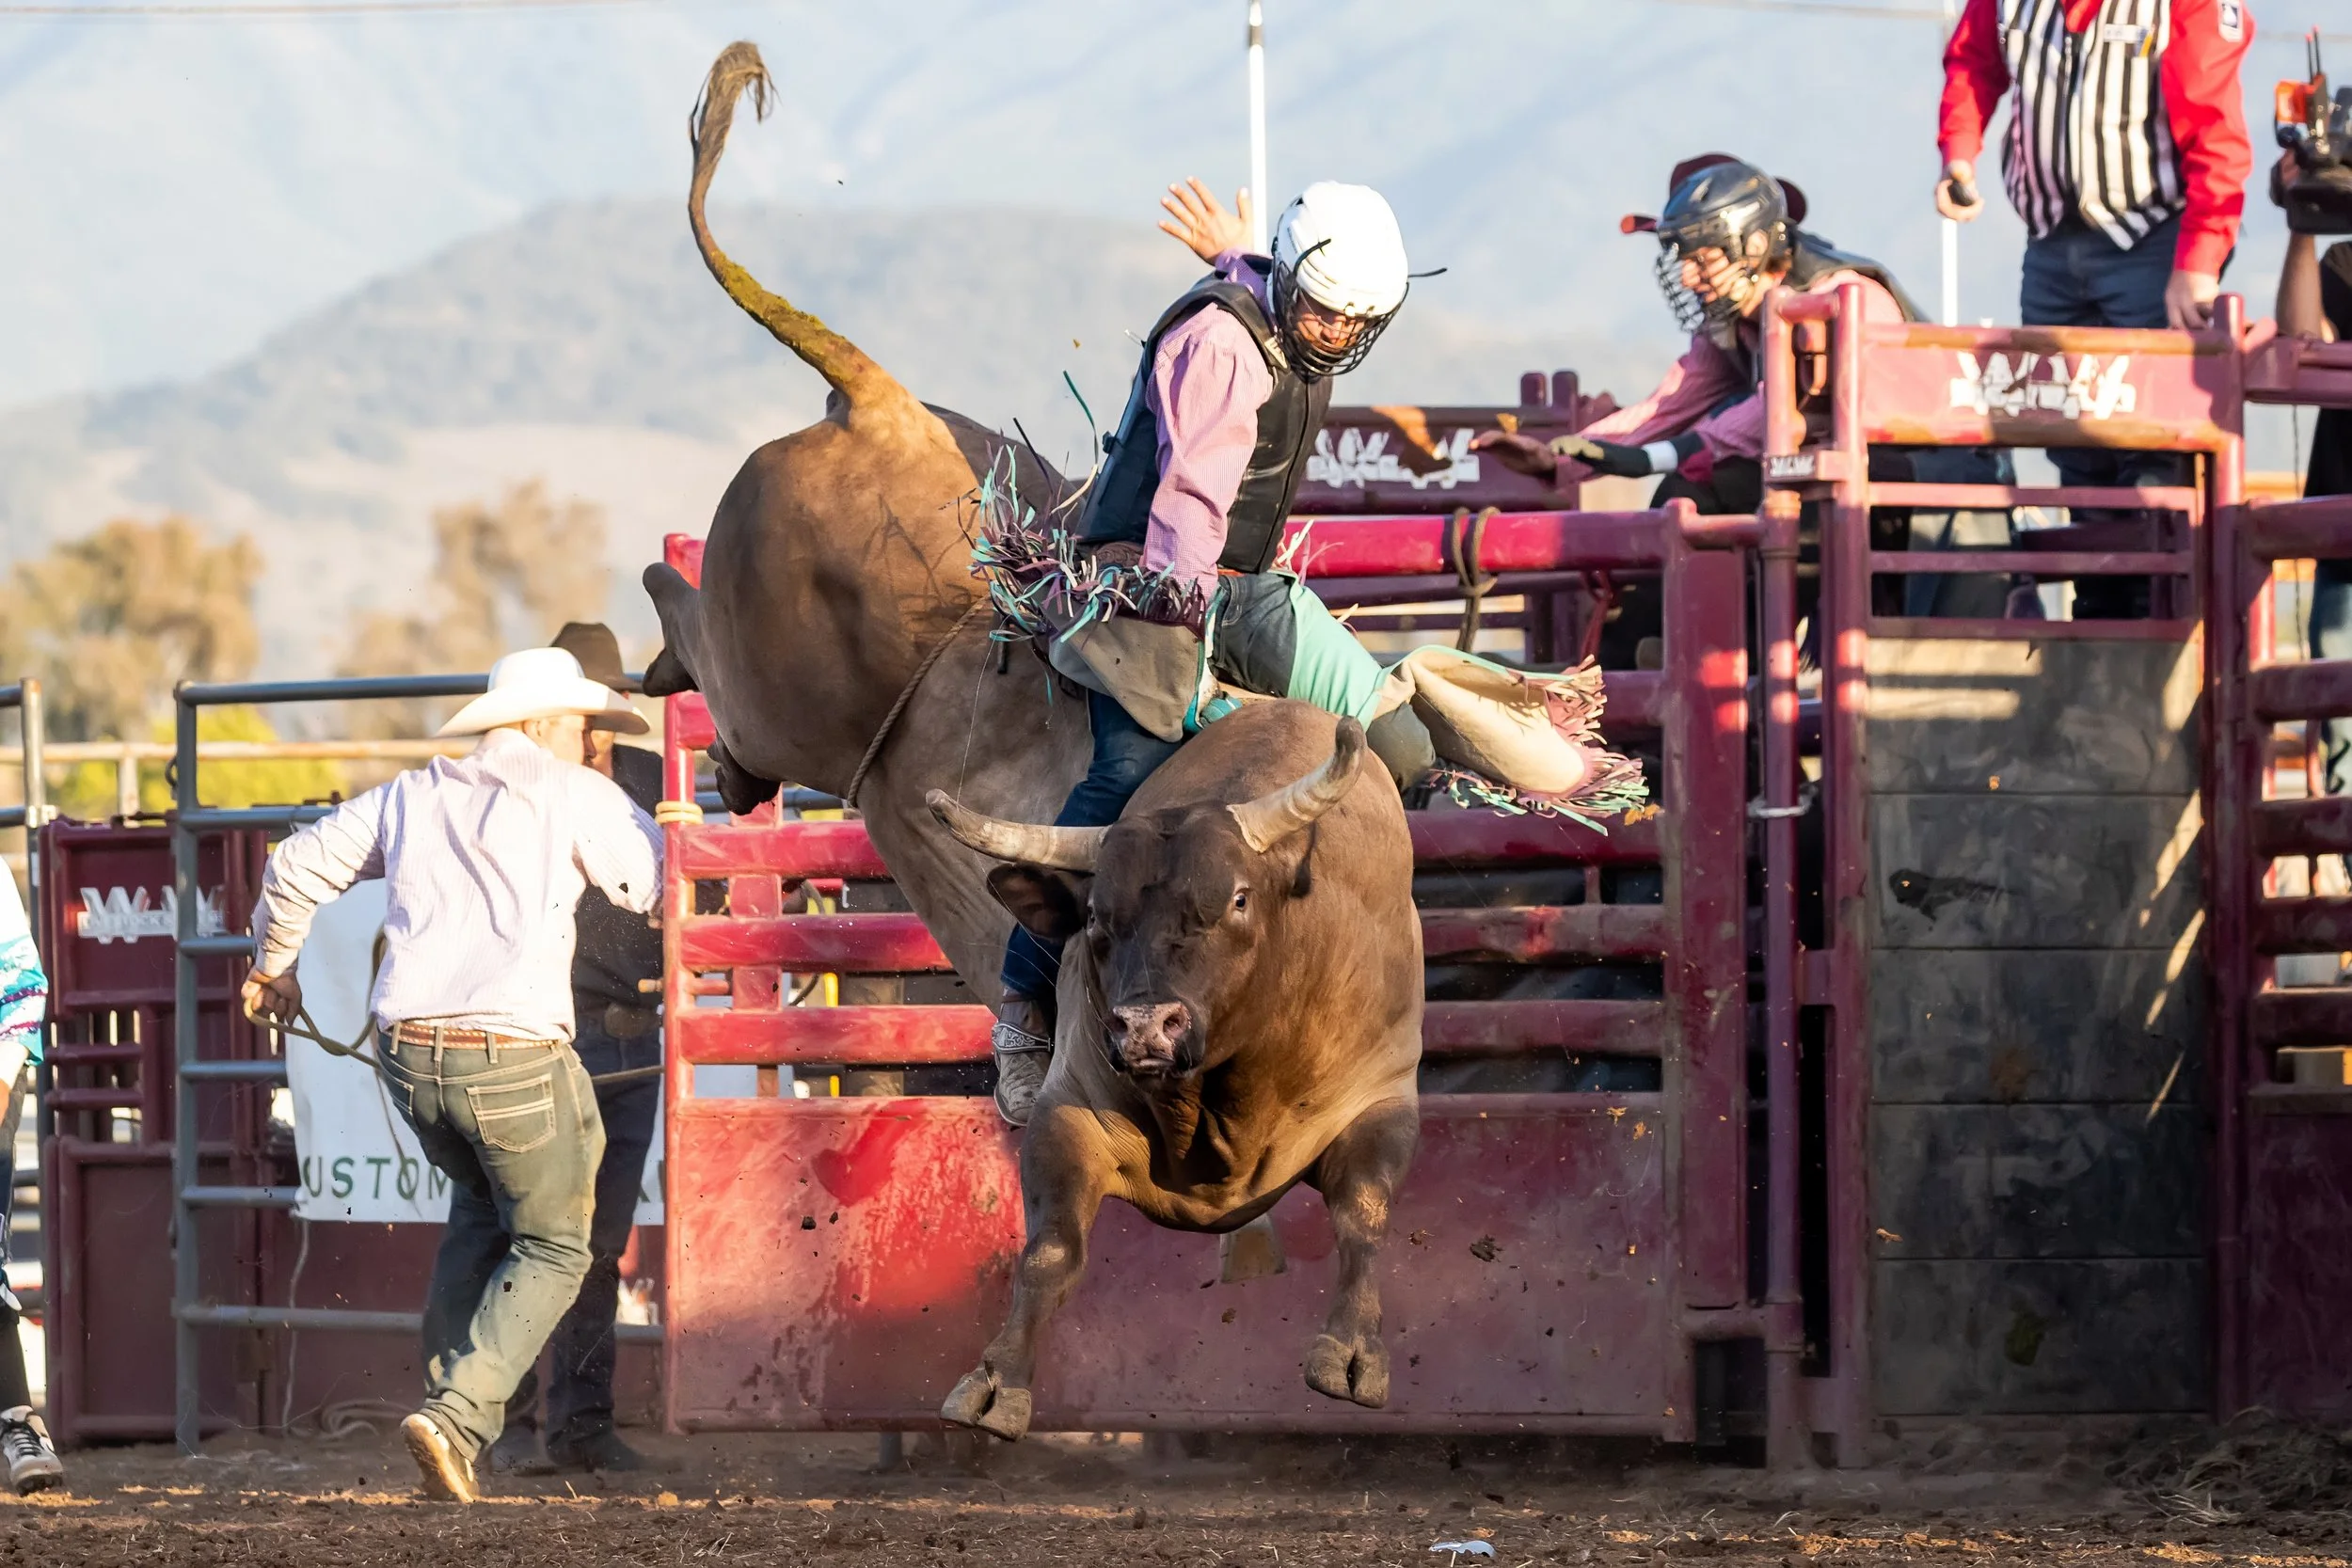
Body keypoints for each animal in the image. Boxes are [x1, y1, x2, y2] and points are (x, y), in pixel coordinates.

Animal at [923, 703, 1424, 1440]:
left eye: (1239, 898)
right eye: (1095, 913)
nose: (1143, 1026)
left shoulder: (1379, 1098)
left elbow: (1362, 1214)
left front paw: (1352, 1351)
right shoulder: (1070, 1107)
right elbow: (1051, 1251)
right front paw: (995, 1382)